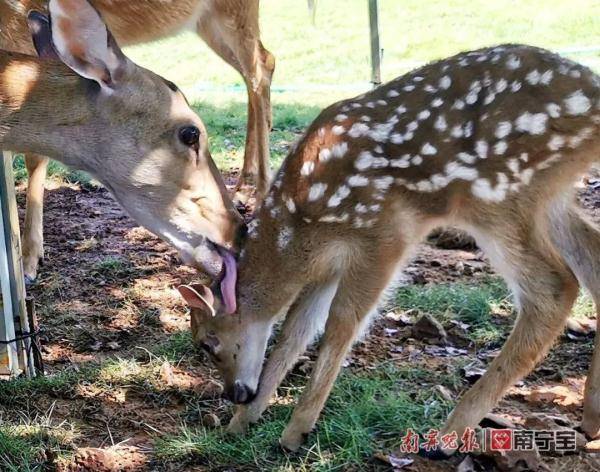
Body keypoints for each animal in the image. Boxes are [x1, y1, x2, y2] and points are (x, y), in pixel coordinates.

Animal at [178, 45, 600, 454]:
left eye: (209, 343)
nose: (235, 393)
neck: (297, 230)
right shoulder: (327, 265)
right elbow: (297, 328)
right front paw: (243, 422)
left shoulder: (382, 234)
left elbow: (341, 323)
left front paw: (294, 431)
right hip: (546, 196)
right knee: (589, 258)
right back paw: (589, 418)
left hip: (499, 194)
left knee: (554, 286)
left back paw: (447, 436)